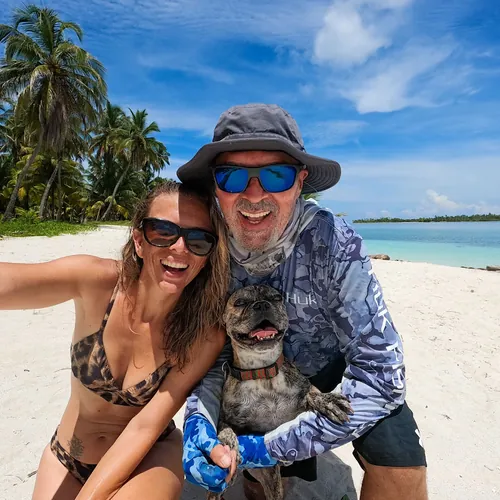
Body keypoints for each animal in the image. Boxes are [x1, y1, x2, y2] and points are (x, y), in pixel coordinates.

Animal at [207, 284, 352, 500]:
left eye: (276, 298)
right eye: (240, 302)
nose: (262, 305)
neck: (263, 372)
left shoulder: (303, 395)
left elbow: (312, 394)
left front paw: (328, 400)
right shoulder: (226, 417)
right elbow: (225, 430)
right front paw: (229, 446)